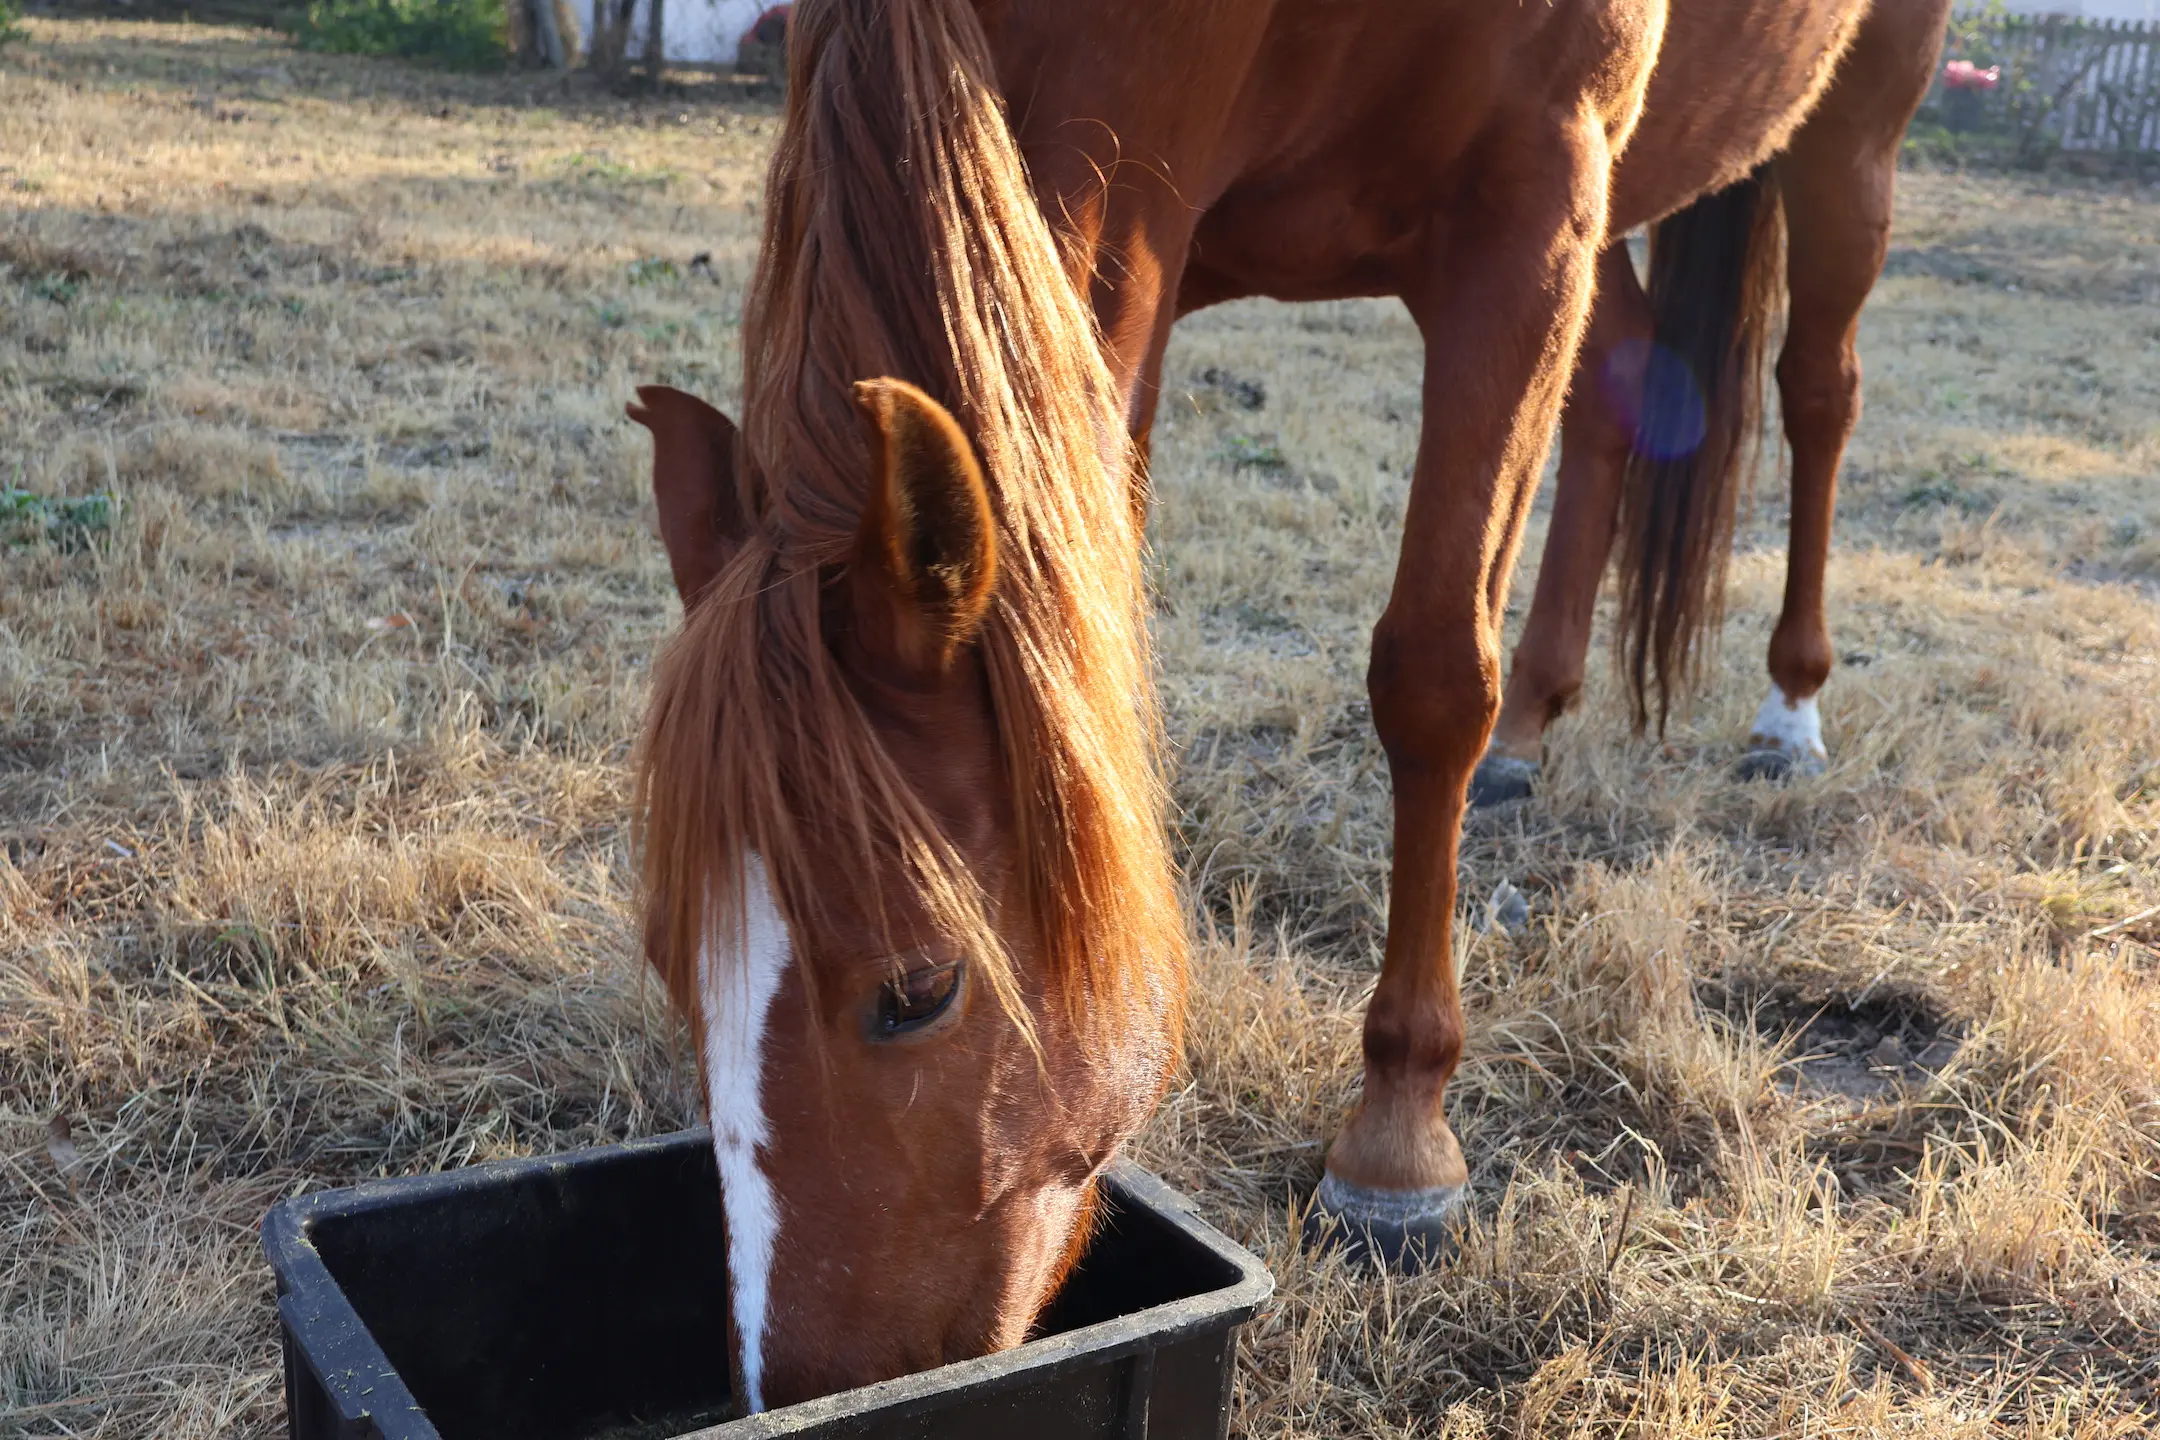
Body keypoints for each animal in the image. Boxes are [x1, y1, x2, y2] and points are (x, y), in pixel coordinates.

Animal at [629, 0, 1950, 1412]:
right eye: (675, 958)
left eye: (920, 989)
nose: (801, 1385)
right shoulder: (1148, 252)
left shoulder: (1530, 210)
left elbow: (1431, 678)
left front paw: (1398, 1148)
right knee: (1621, 401)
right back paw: (1536, 728)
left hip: (1848, 140)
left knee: (1819, 388)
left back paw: (1789, 709)